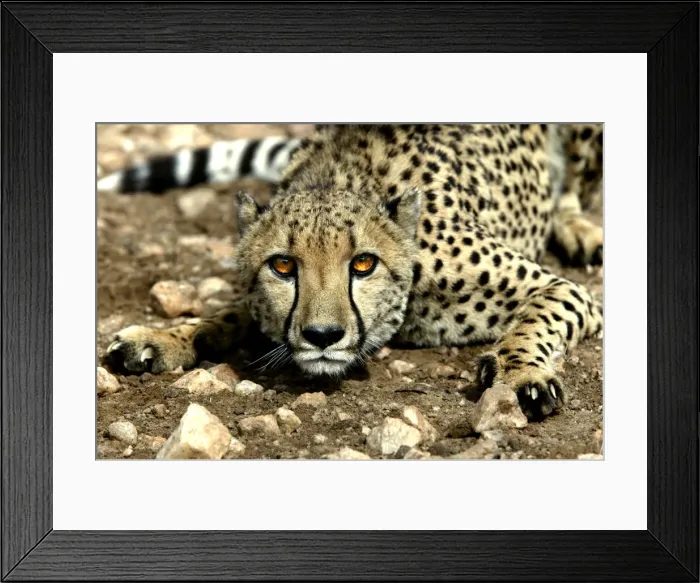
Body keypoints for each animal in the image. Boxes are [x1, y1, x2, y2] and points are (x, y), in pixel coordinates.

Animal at [98, 124, 603, 420]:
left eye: (364, 263)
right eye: (283, 265)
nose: (323, 336)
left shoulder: (563, 289)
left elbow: (533, 324)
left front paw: (521, 375)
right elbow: (231, 313)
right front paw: (165, 337)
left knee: (575, 190)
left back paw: (579, 229)